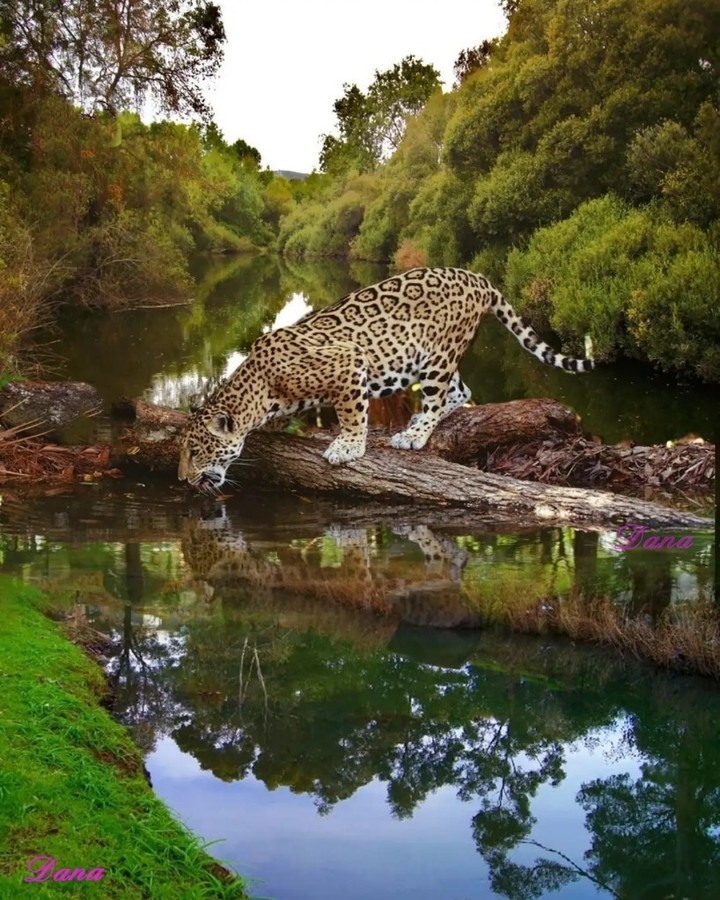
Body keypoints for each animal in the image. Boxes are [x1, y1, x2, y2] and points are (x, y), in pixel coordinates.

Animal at [178, 266, 594, 493]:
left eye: (196, 452)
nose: (182, 480)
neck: (260, 388)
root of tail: (475, 277)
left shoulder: (348, 363)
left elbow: (351, 413)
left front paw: (347, 446)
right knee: (461, 390)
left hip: (437, 356)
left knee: (438, 396)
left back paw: (414, 433)